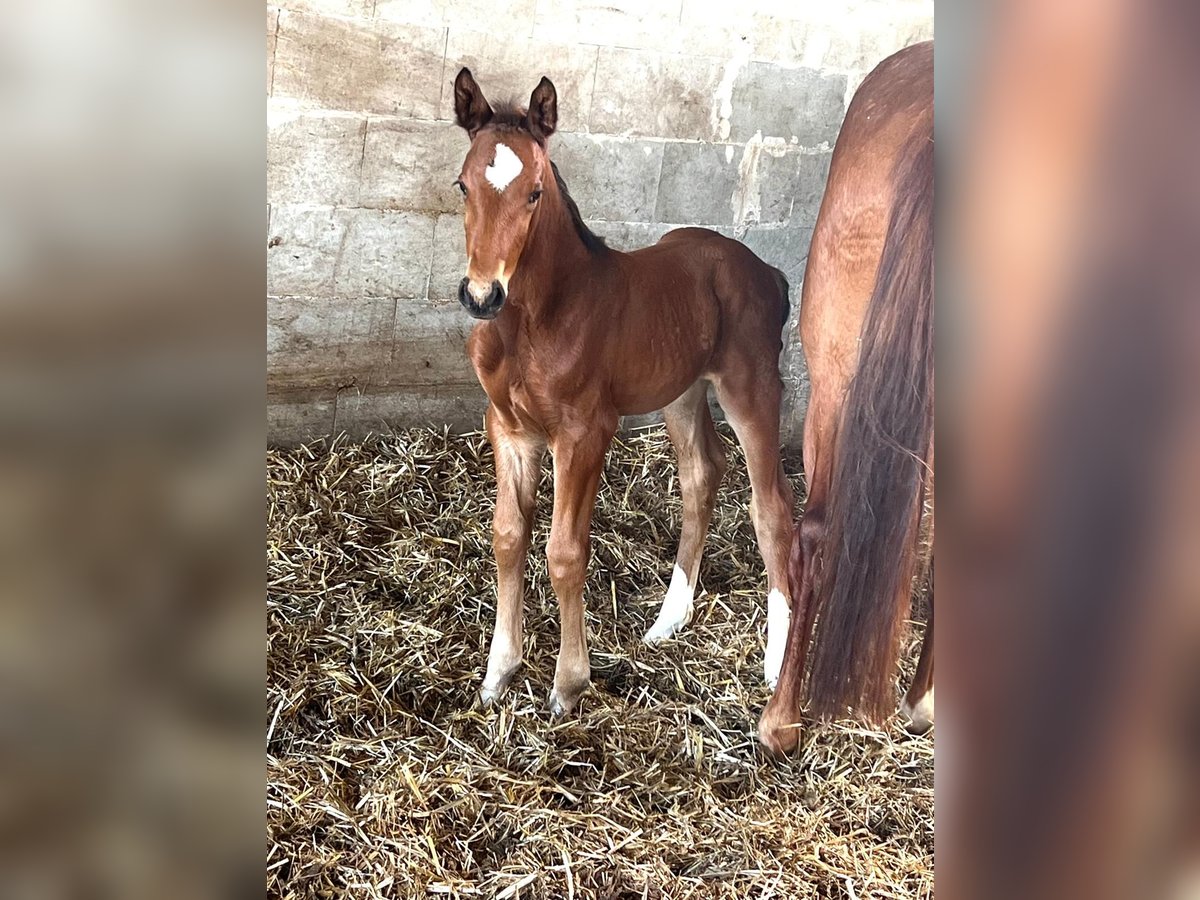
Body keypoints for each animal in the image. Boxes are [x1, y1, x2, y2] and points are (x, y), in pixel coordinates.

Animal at [451, 68, 796, 720]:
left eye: (535, 192)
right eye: (462, 186)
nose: (482, 295)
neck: (536, 320)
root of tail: (768, 270)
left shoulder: (585, 433)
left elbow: (564, 552)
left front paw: (567, 685)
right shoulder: (509, 428)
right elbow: (508, 537)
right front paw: (499, 673)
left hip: (752, 388)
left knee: (772, 507)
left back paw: (776, 665)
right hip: (682, 391)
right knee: (701, 476)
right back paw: (667, 622)